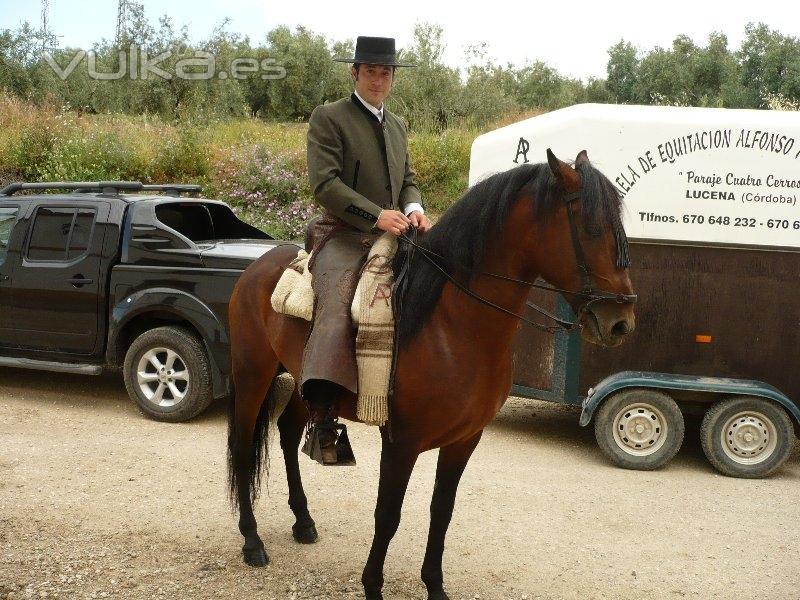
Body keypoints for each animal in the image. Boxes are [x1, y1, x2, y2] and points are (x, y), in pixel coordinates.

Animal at [227, 150, 636, 600]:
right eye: (591, 230)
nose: (621, 322)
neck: (452, 325)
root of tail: (257, 266)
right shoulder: (401, 442)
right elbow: (388, 515)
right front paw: (373, 587)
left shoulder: (464, 441)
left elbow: (442, 511)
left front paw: (435, 586)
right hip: (251, 375)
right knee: (243, 447)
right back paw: (252, 540)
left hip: (305, 383)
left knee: (285, 432)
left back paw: (303, 521)